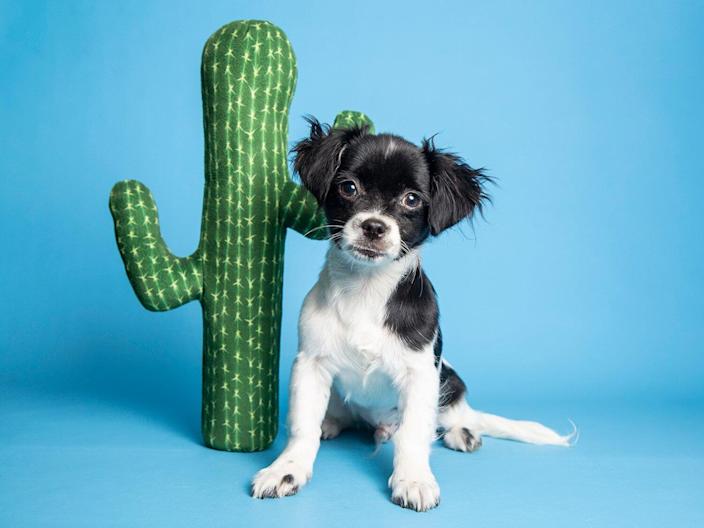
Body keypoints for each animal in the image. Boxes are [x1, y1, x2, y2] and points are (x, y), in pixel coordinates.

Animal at [250, 118, 576, 512]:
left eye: (411, 199)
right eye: (348, 187)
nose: (374, 226)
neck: (366, 290)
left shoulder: (421, 374)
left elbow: (413, 434)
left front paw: (413, 479)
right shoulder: (310, 364)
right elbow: (302, 426)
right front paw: (287, 469)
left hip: (449, 379)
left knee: (452, 415)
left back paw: (461, 430)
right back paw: (332, 421)